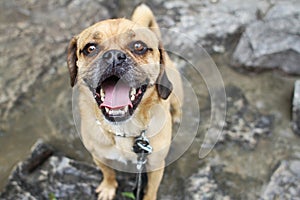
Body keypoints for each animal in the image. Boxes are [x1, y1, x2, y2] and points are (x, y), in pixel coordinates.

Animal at [66, 3, 182, 200]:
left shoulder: (155, 165)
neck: (123, 129)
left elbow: (151, 189)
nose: (113, 55)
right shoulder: (99, 157)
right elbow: (108, 173)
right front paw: (108, 187)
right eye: (90, 48)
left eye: (139, 46)